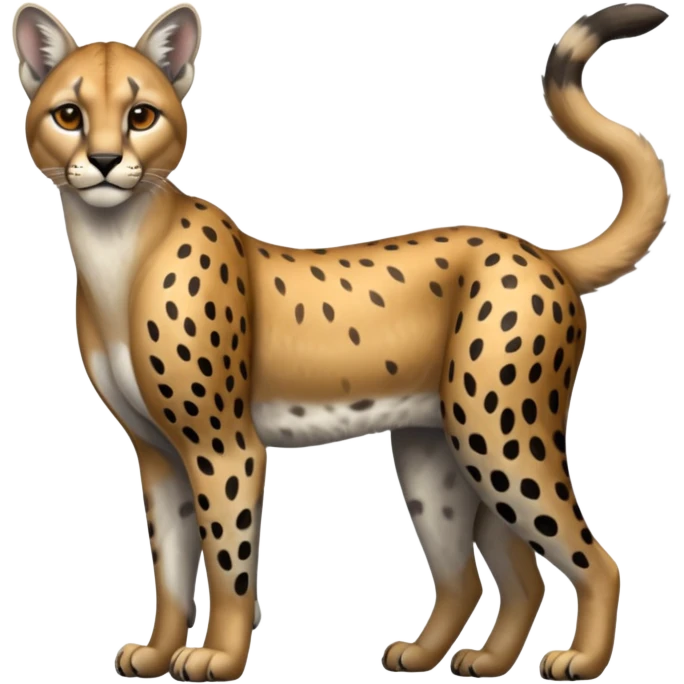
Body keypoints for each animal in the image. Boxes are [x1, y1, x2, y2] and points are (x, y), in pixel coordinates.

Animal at [11, 1, 671, 681]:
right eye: (69, 114)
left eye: (141, 114)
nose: (106, 161)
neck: (118, 247)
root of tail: (540, 251)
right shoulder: (158, 452)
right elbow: (169, 565)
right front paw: (157, 650)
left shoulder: (225, 446)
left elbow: (229, 562)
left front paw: (219, 654)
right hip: (442, 451)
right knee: (495, 575)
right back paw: (461, 658)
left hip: (497, 434)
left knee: (594, 559)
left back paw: (582, 659)